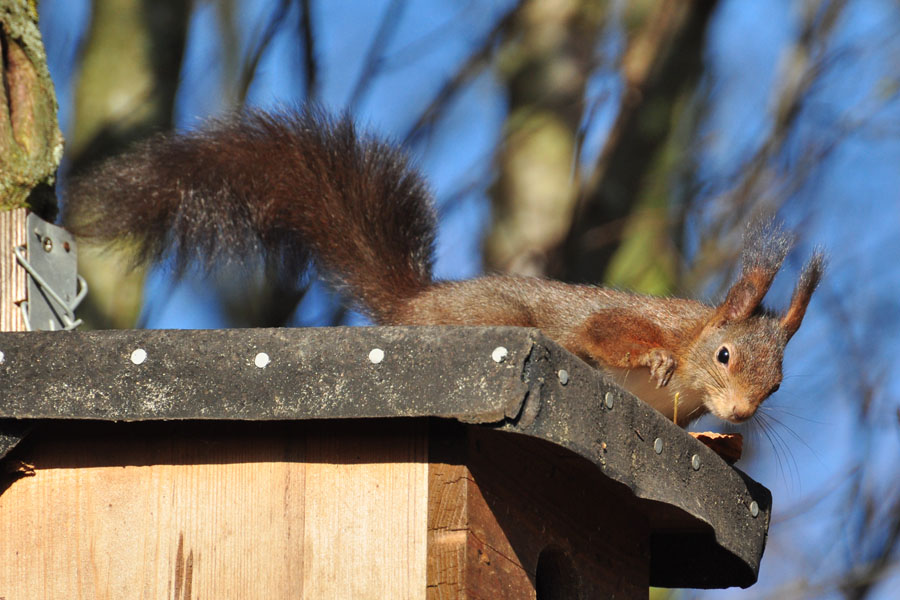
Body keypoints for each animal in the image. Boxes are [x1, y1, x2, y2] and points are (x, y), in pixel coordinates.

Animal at [63, 106, 824, 426]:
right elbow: (604, 329)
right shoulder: (636, 319)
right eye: (724, 355)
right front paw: (655, 358)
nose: (744, 412)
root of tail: (414, 306)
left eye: (779, 383)